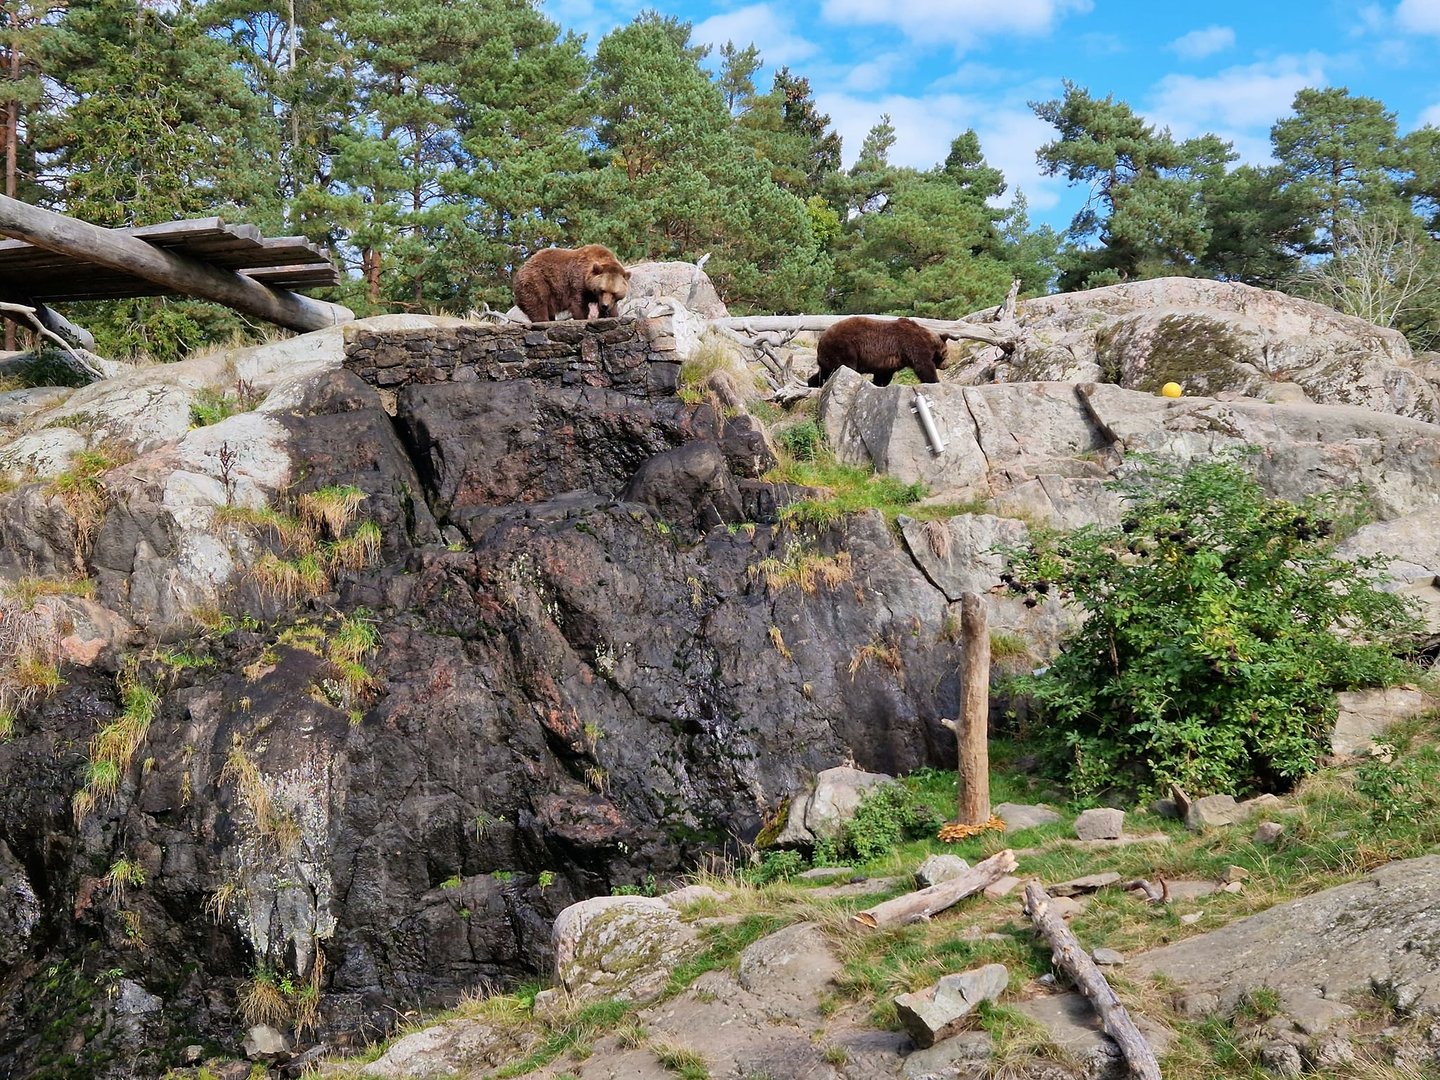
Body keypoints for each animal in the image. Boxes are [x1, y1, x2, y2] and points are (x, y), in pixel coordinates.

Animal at [808, 316, 949, 388]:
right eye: (946, 354)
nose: (946, 365)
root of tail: (821, 338)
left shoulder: (887, 360)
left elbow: (883, 375)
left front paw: (877, 383)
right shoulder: (913, 345)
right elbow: (924, 366)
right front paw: (934, 381)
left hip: (829, 355)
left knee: (825, 372)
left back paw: (812, 383)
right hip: (844, 347)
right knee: (844, 367)